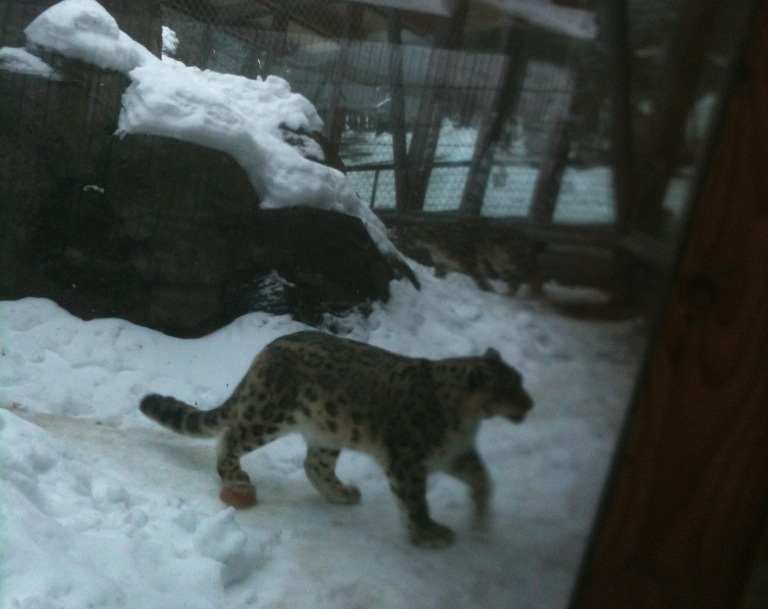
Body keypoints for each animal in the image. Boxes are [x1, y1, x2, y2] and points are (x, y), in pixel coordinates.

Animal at [139, 330, 533, 548]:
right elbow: (414, 499)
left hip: (328, 429)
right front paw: (428, 533)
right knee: (233, 434)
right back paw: (234, 474)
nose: (530, 404)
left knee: (313, 463)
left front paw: (481, 520)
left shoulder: (457, 454)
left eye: (519, 380)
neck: (466, 421)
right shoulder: (408, 458)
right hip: (268, 414)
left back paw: (342, 492)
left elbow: (482, 478)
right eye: (509, 387)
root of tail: (267, 349)